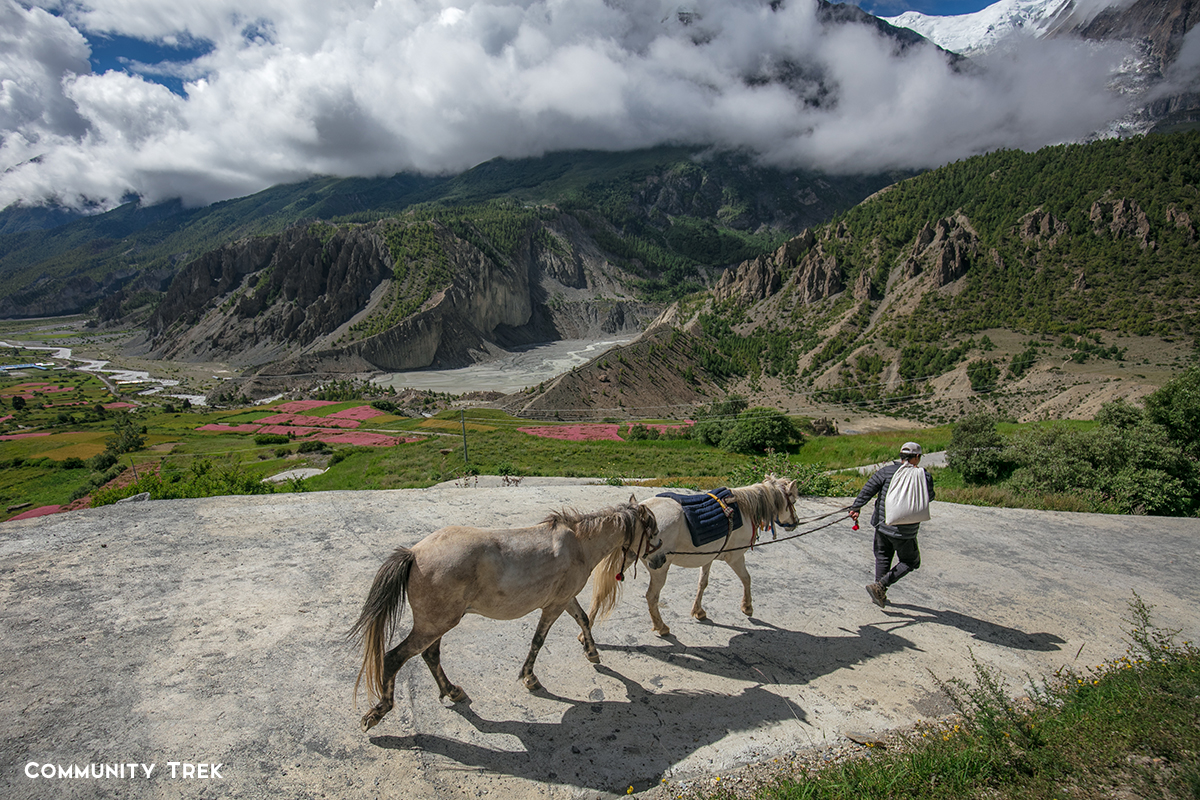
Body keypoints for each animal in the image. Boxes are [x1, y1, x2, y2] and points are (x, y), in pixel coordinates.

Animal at [350, 494, 662, 734]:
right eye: (652, 530)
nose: (659, 558)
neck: (580, 544)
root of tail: (414, 552)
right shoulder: (553, 606)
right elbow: (538, 641)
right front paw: (529, 678)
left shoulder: (565, 599)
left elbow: (583, 618)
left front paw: (592, 652)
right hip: (434, 624)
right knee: (395, 658)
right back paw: (379, 711)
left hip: (436, 624)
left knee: (430, 655)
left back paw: (452, 691)